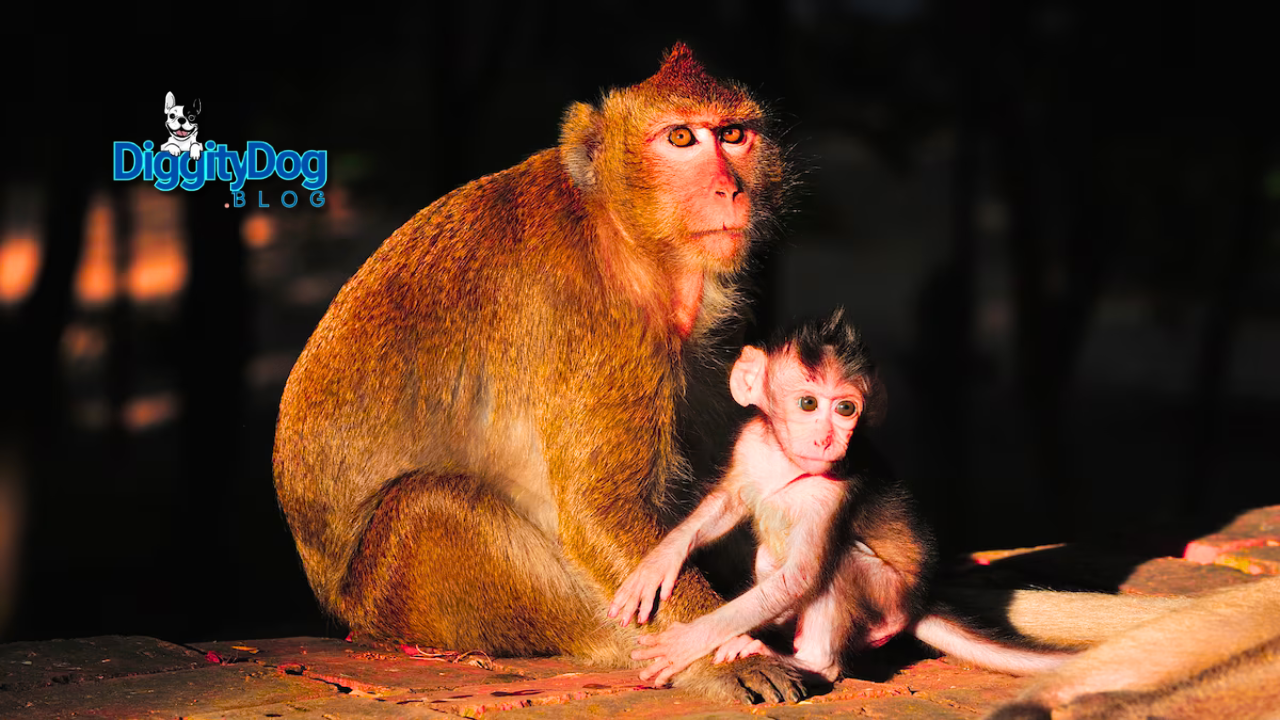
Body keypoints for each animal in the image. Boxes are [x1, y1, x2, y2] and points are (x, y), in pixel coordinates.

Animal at [272, 44, 808, 704]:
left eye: (733, 135)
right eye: (681, 137)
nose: (728, 189)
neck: (618, 229)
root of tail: (347, 613)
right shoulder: (596, 320)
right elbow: (600, 512)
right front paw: (724, 655)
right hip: (418, 601)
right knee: (428, 506)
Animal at [609, 309, 1072, 689]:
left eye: (846, 409)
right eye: (808, 403)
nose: (826, 440)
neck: (786, 463)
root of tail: (917, 603)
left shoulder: (829, 492)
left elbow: (800, 578)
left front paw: (691, 639)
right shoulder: (750, 445)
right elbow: (727, 502)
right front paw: (658, 561)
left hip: (887, 597)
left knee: (839, 565)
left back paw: (809, 661)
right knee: (770, 559)